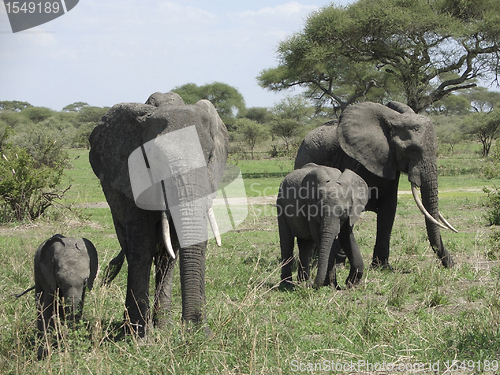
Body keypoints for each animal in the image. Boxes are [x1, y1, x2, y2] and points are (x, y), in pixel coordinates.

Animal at [89, 92, 229, 338]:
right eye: (155, 161)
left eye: (210, 156)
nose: (195, 328)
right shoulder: (130, 175)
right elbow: (141, 245)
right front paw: (138, 336)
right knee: (132, 246)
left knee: (166, 257)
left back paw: (163, 325)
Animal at [296, 101, 458, 270]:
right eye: (411, 150)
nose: (452, 264)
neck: (393, 120)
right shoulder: (351, 160)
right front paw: (340, 266)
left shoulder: (390, 162)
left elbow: (389, 210)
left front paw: (383, 268)